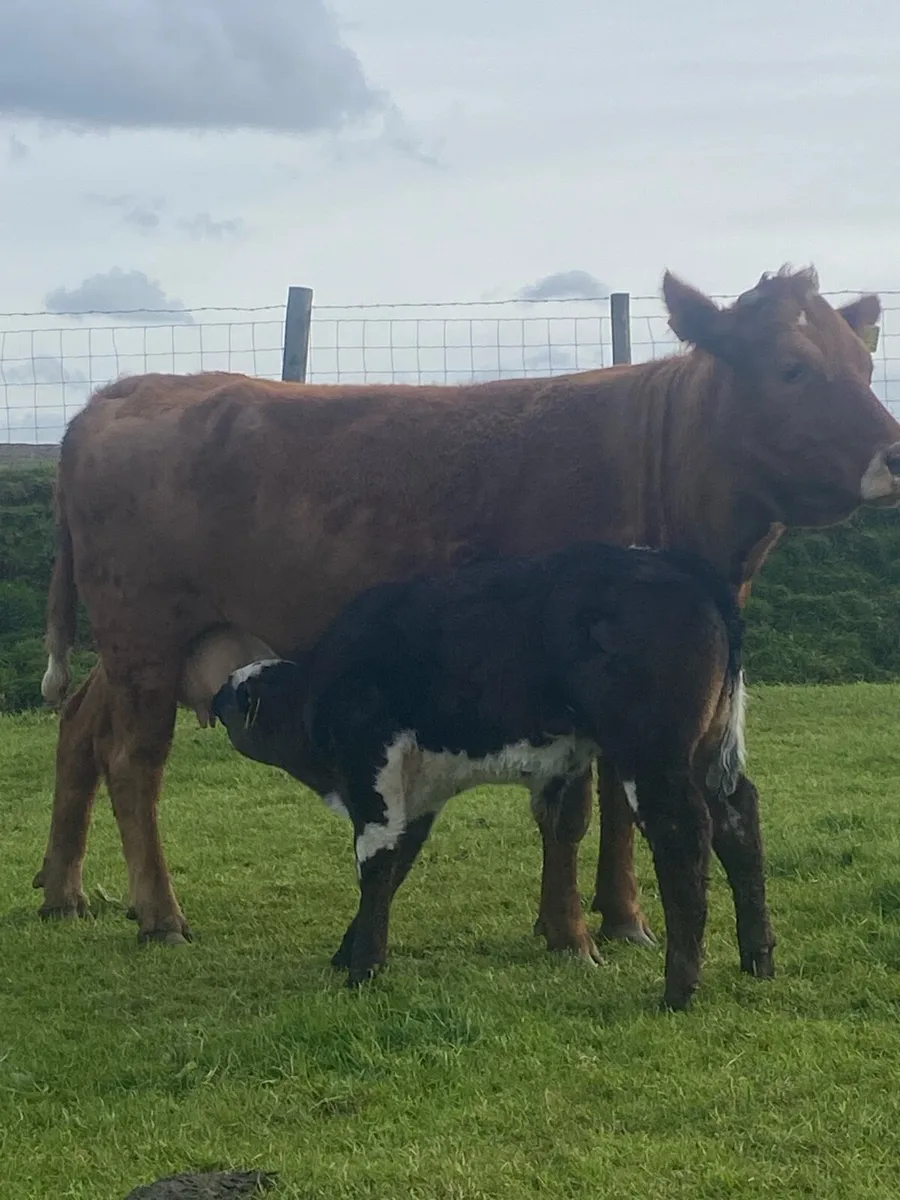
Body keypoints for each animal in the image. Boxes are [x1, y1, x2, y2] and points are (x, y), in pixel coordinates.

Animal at [34, 265, 900, 957]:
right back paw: (160, 915)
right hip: (144, 638)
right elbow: (571, 810)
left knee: (79, 732)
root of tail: (127, 390)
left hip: (137, 651)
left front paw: (623, 917)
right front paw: (569, 933)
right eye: (792, 368)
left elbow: (619, 809)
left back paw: (62, 889)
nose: (894, 453)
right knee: (132, 763)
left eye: (864, 363)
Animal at [209, 540, 765, 1011]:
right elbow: (396, 867)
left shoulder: (374, 776)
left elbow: (375, 864)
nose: (216, 698)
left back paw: (679, 991)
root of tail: (679, 564)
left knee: (685, 837)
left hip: (652, 755)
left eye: (236, 700)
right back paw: (759, 962)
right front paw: (349, 953)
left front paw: (362, 969)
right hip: (705, 753)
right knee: (738, 819)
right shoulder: (417, 793)